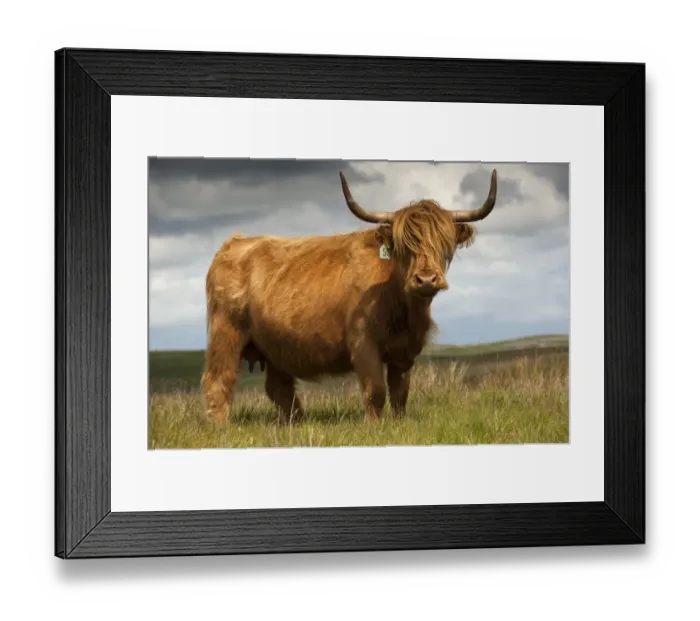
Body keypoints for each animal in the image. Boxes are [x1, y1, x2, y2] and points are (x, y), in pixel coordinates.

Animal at [200, 168, 498, 426]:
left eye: (444, 244)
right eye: (404, 246)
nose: (425, 279)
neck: (402, 306)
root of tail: (233, 243)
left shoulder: (405, 352)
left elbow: (400, 393)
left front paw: (399, 423)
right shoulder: (363, 344)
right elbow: (376, 390)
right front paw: (373, 427)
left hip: (274, 345)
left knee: (280, 388)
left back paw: (296, 423)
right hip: (226, 334)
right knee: (219, 380)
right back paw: (221, 427)